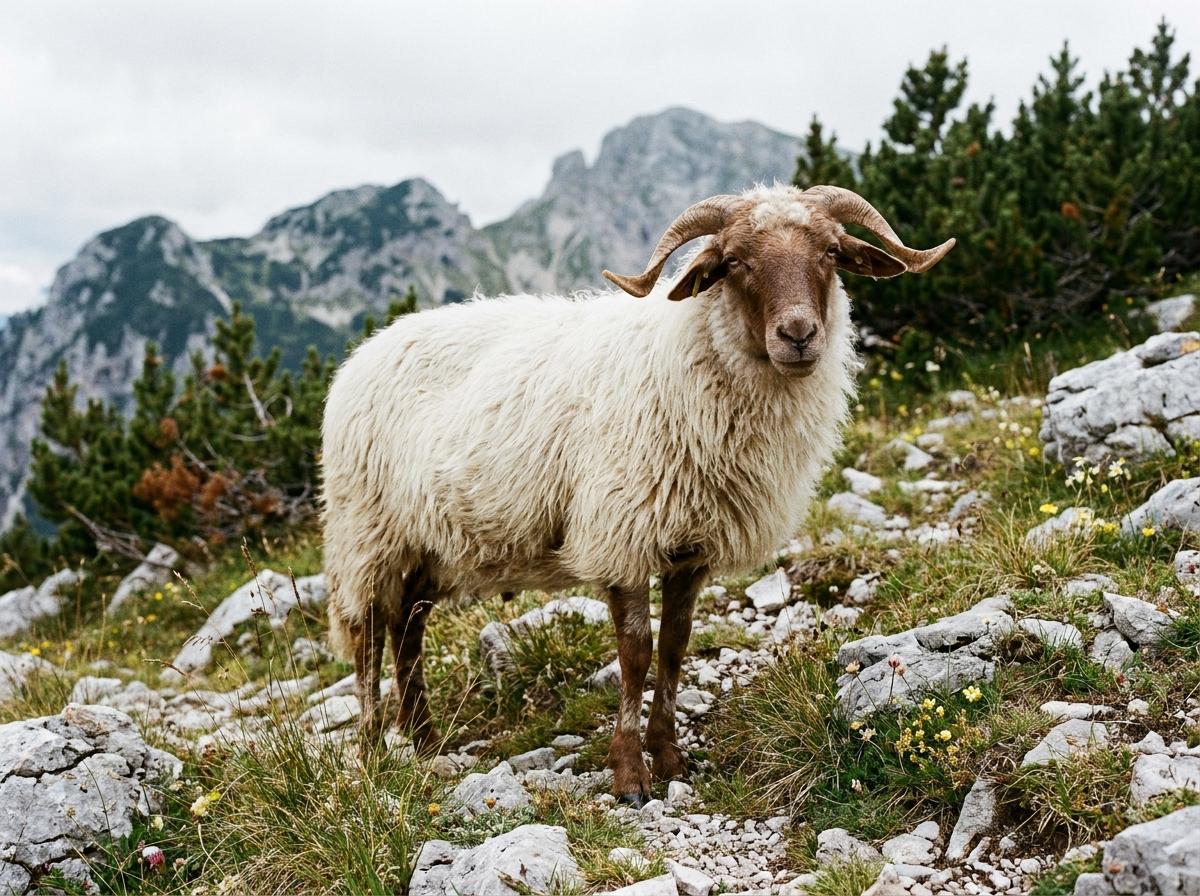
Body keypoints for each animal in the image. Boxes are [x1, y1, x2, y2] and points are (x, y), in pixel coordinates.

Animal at [321, 183, 954, 804]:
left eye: (830, 251)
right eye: (733, 262)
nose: (797, 336)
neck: (686, 363)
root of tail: (367, 348)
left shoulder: (692, 547)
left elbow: (674, 646)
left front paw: (669, 757)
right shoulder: (620, 532)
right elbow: (635, 654)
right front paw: (629, 776)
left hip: (429, 544)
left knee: (408, 628)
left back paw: (426, 742)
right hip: (367, 532)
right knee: (369, 637)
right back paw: (375, 751)